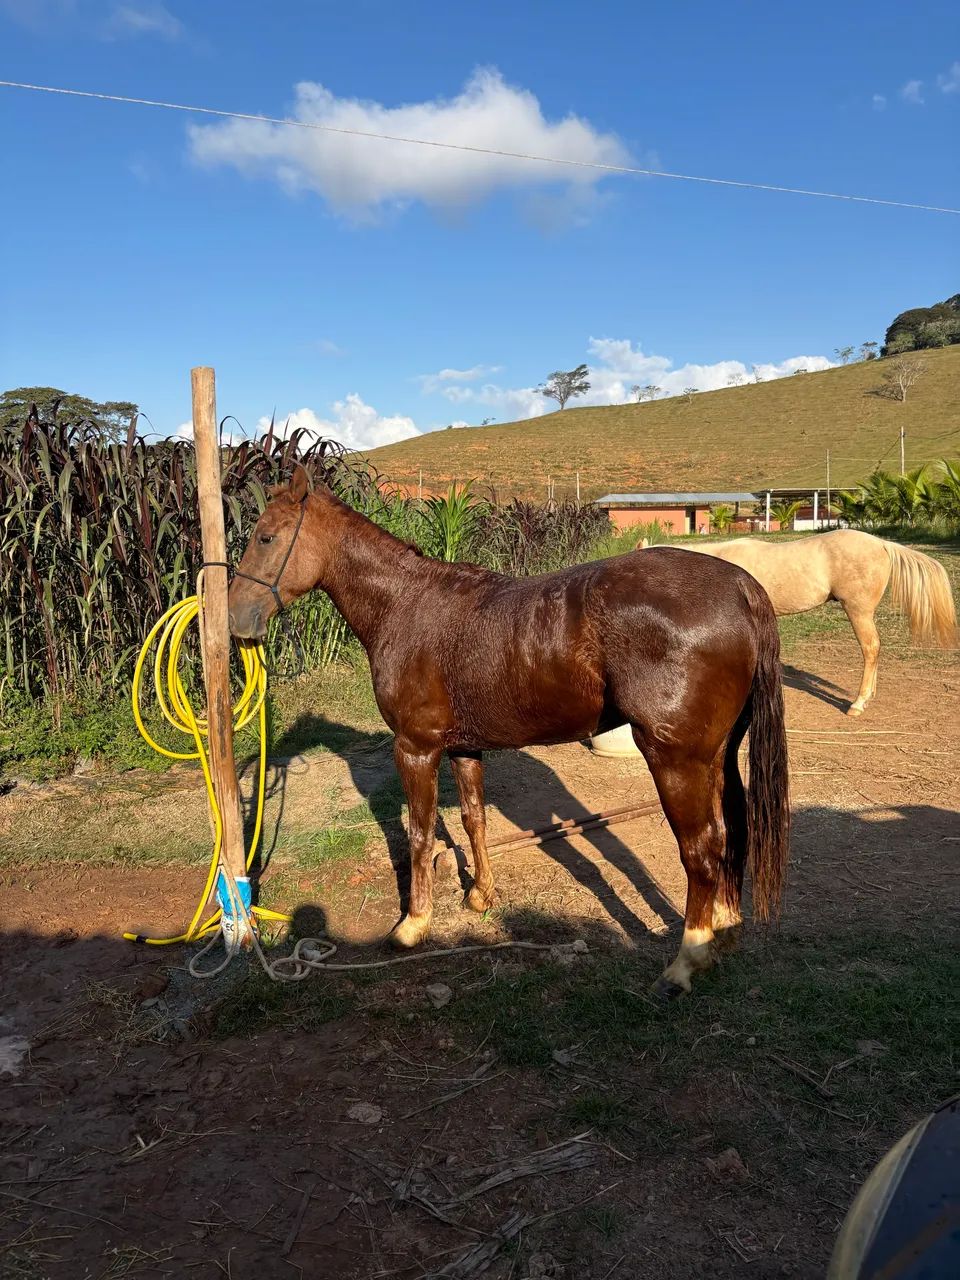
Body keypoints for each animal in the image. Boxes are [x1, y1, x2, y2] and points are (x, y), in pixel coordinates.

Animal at [228, 465, 790, 997]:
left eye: (266, 537)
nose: (235, 618)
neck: (405, 606)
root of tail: (741, 587)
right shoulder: (464, 748)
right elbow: (474, 820)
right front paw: (481, 894)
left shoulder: (415, 749)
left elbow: (419, 833)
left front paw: (414, 924)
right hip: (716, 755)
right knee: (729, 832)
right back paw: (722, 931)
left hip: (675, 761)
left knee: (700, 851)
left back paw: (685, 962)